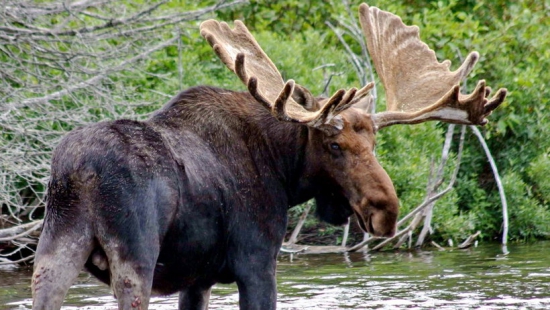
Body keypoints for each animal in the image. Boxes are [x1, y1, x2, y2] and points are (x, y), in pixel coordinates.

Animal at [32, 3, 508, 310]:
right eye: (334, 146)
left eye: (375, 144)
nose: (386, 211)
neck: (285, 173)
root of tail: (78, 172)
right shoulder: (257, 261)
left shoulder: (198, 280)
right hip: (135, 256)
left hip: (52, 253)